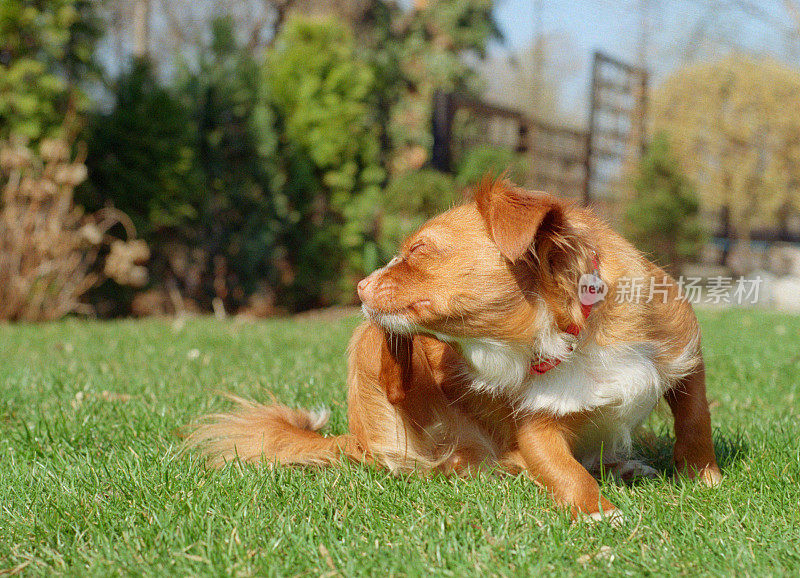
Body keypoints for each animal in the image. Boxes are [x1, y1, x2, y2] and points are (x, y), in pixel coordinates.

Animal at [186, 178, 720, 520]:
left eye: (419, 250)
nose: (359, 286)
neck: (573, 334)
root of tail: (355, 437)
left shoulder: (685, 355)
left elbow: (695, 422)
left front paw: (705, 478)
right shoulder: (536, 426)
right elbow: (563, 469)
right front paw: (597, 513)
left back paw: (622, 464)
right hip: (370, 348)